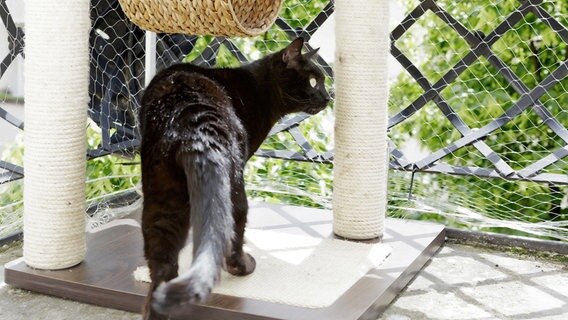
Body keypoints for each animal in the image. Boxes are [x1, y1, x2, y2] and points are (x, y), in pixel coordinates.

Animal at [139, 37, 330, 318]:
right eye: (315, 81)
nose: (328, 96)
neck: (261, 89)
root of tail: (191, 121)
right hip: (234, 183)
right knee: (234, 228)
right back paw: (243, 265)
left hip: (161, 199)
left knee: (162, 266)